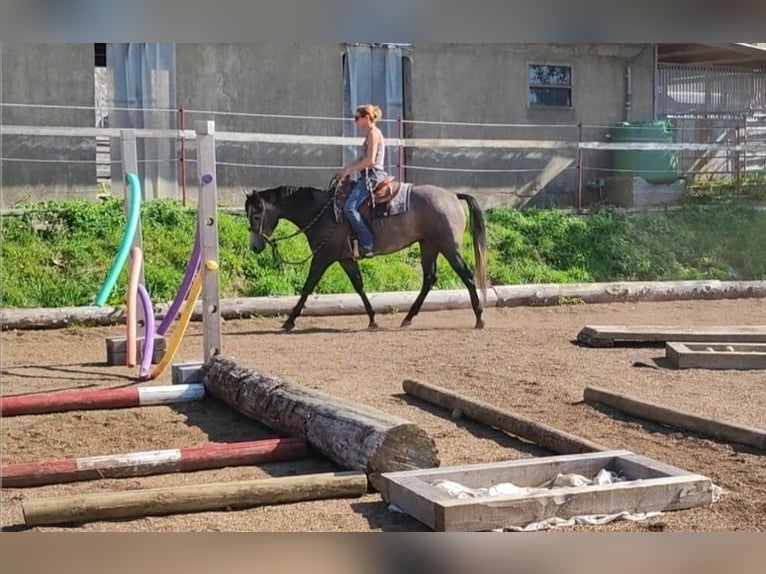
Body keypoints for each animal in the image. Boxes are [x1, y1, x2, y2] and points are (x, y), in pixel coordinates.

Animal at [243, 176, 488, 330]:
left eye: (256, 215)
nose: (255, 247)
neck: (323, 212)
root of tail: (453, 196)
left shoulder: (323, 257)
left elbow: (308, 286)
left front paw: (290, 321)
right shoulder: (345, 259)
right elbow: (359, 286)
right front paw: (372, 319)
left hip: (448, 246)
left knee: (466, 274)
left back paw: (479, 318)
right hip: (428, 246)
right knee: (429, 278)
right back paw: (408, 318)